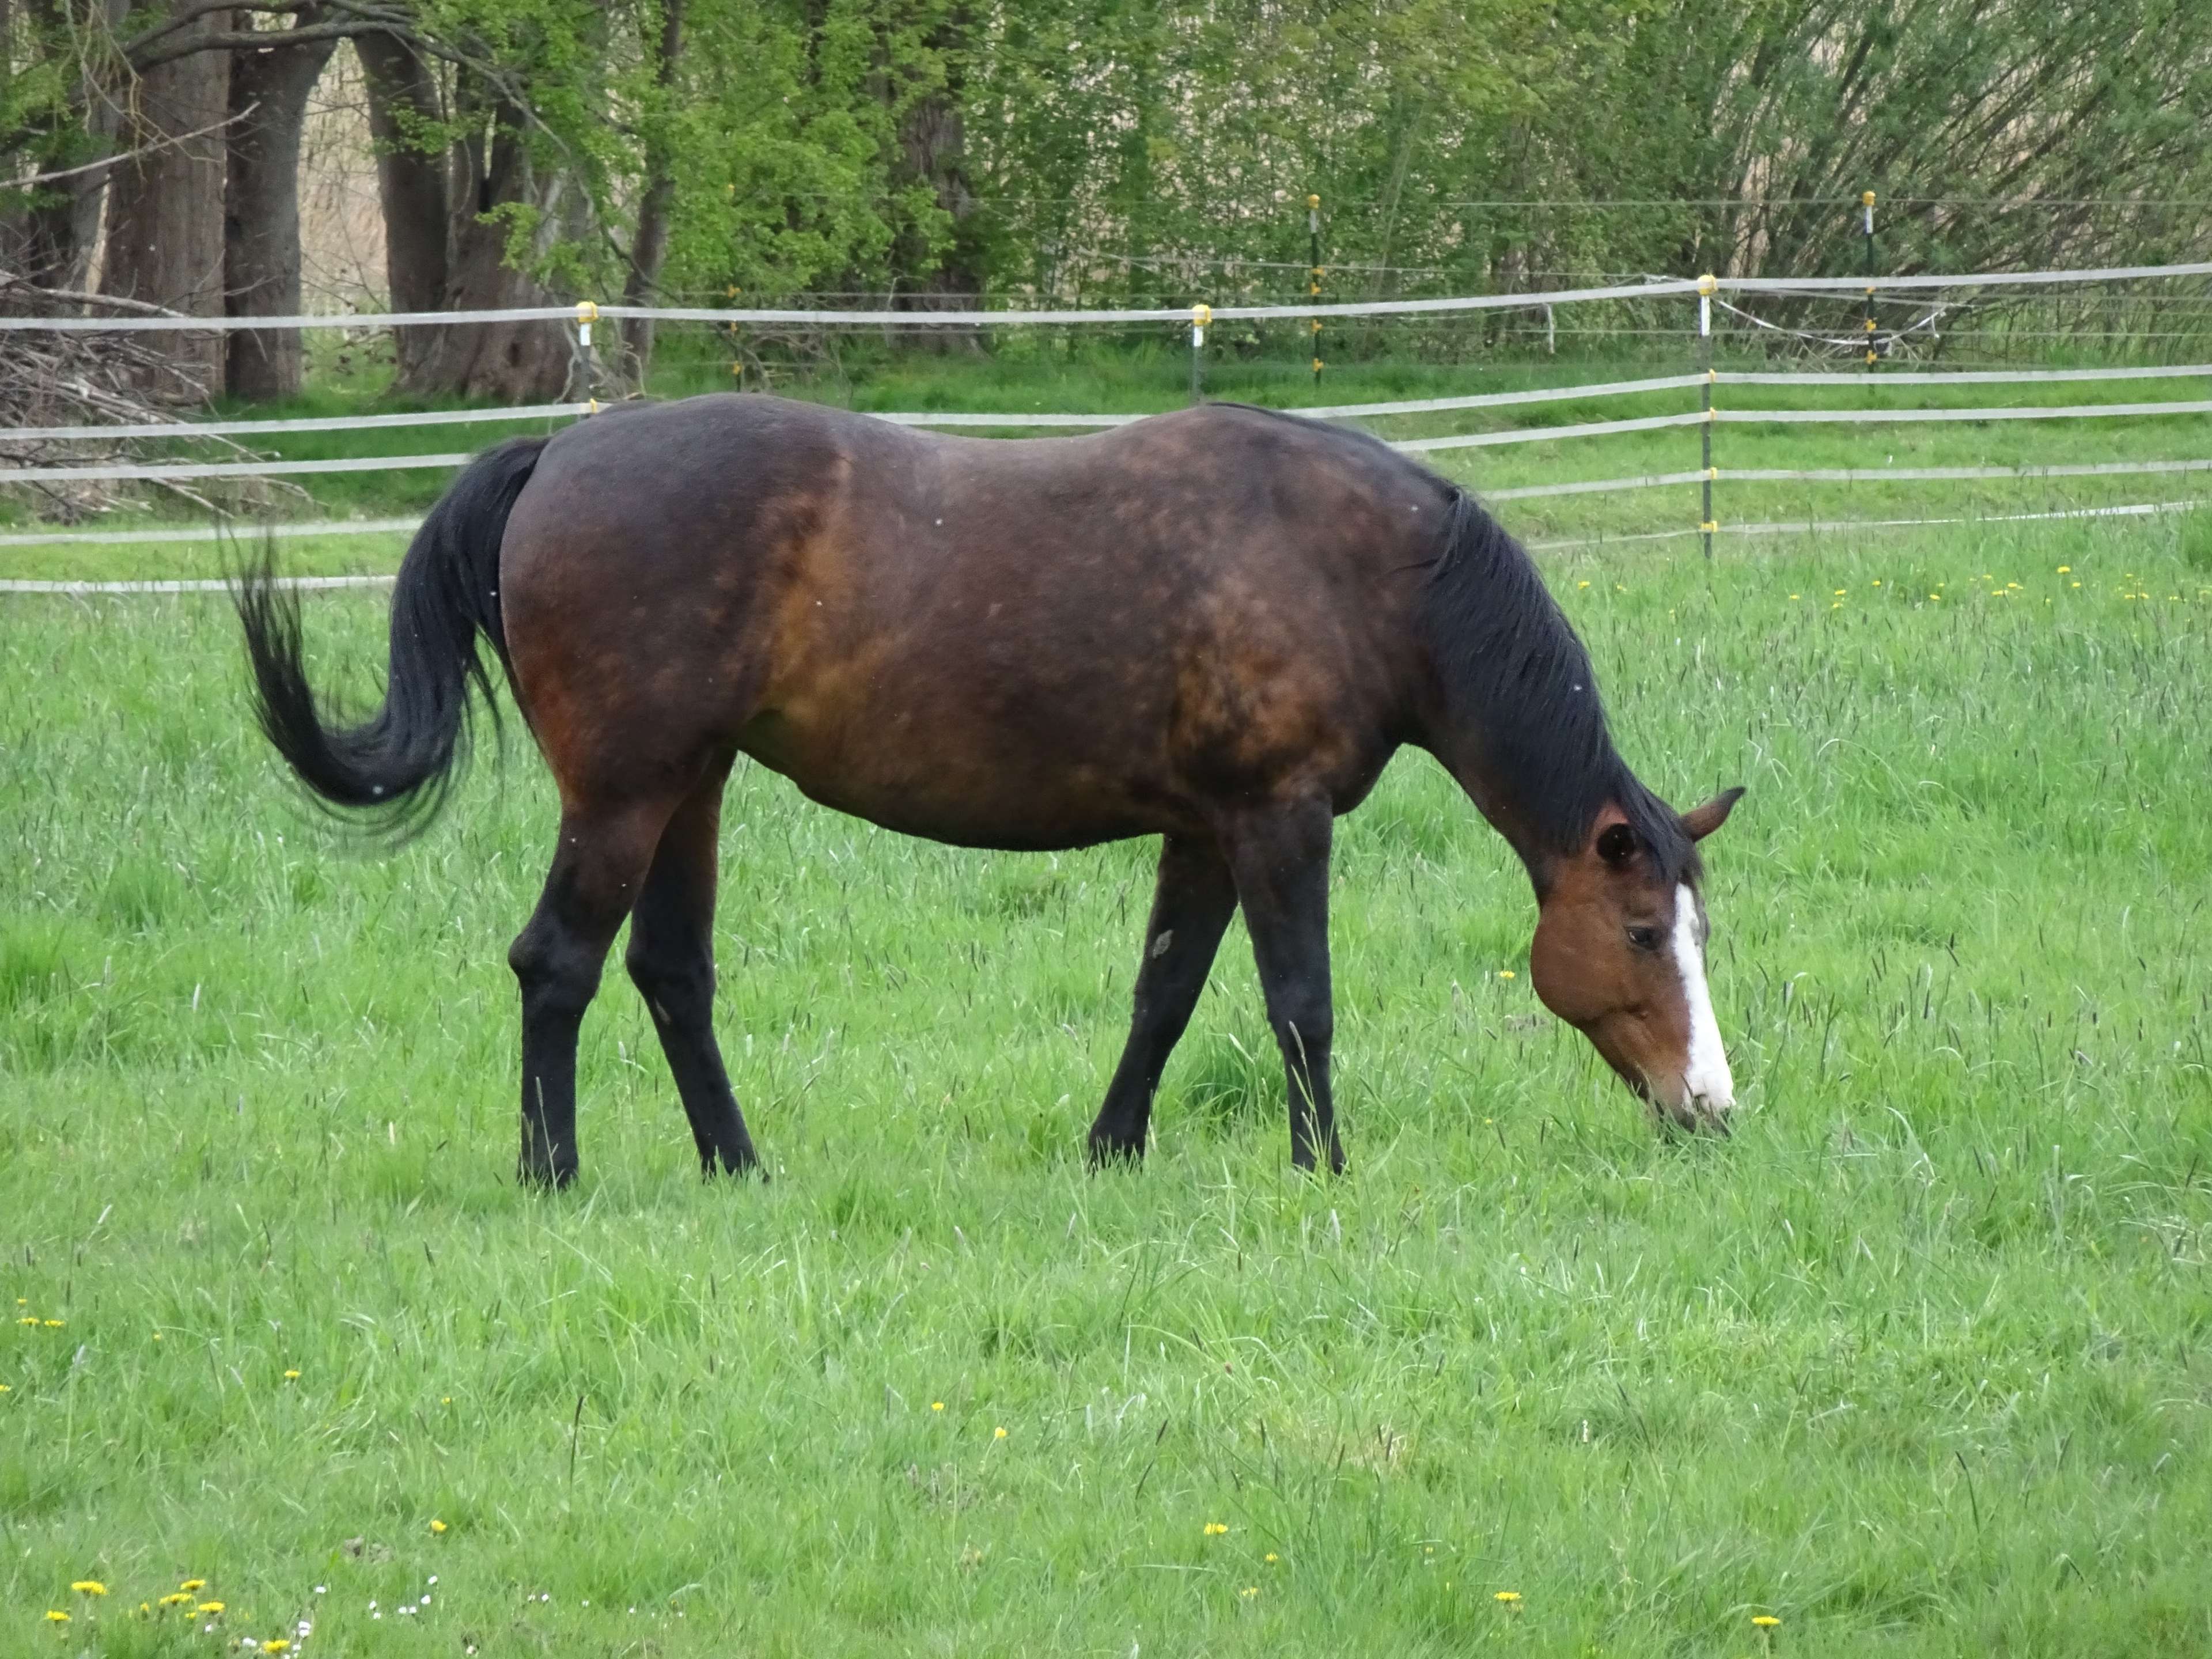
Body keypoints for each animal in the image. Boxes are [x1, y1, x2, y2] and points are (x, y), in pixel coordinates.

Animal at [234, 393, 1743, 1187]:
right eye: (1636, 934)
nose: (1711, 1106)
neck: (1359, 569)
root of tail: (561, 450)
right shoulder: (1276, 819)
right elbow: (1298, 1002)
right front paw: (1321, 1165)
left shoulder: (1203, 831)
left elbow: (1164, 993)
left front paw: (1112, 1147)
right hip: (622, 794)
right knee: (556, 963)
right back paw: (555, 1175)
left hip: (691, 790)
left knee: (671, 974)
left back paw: (739, 1167)